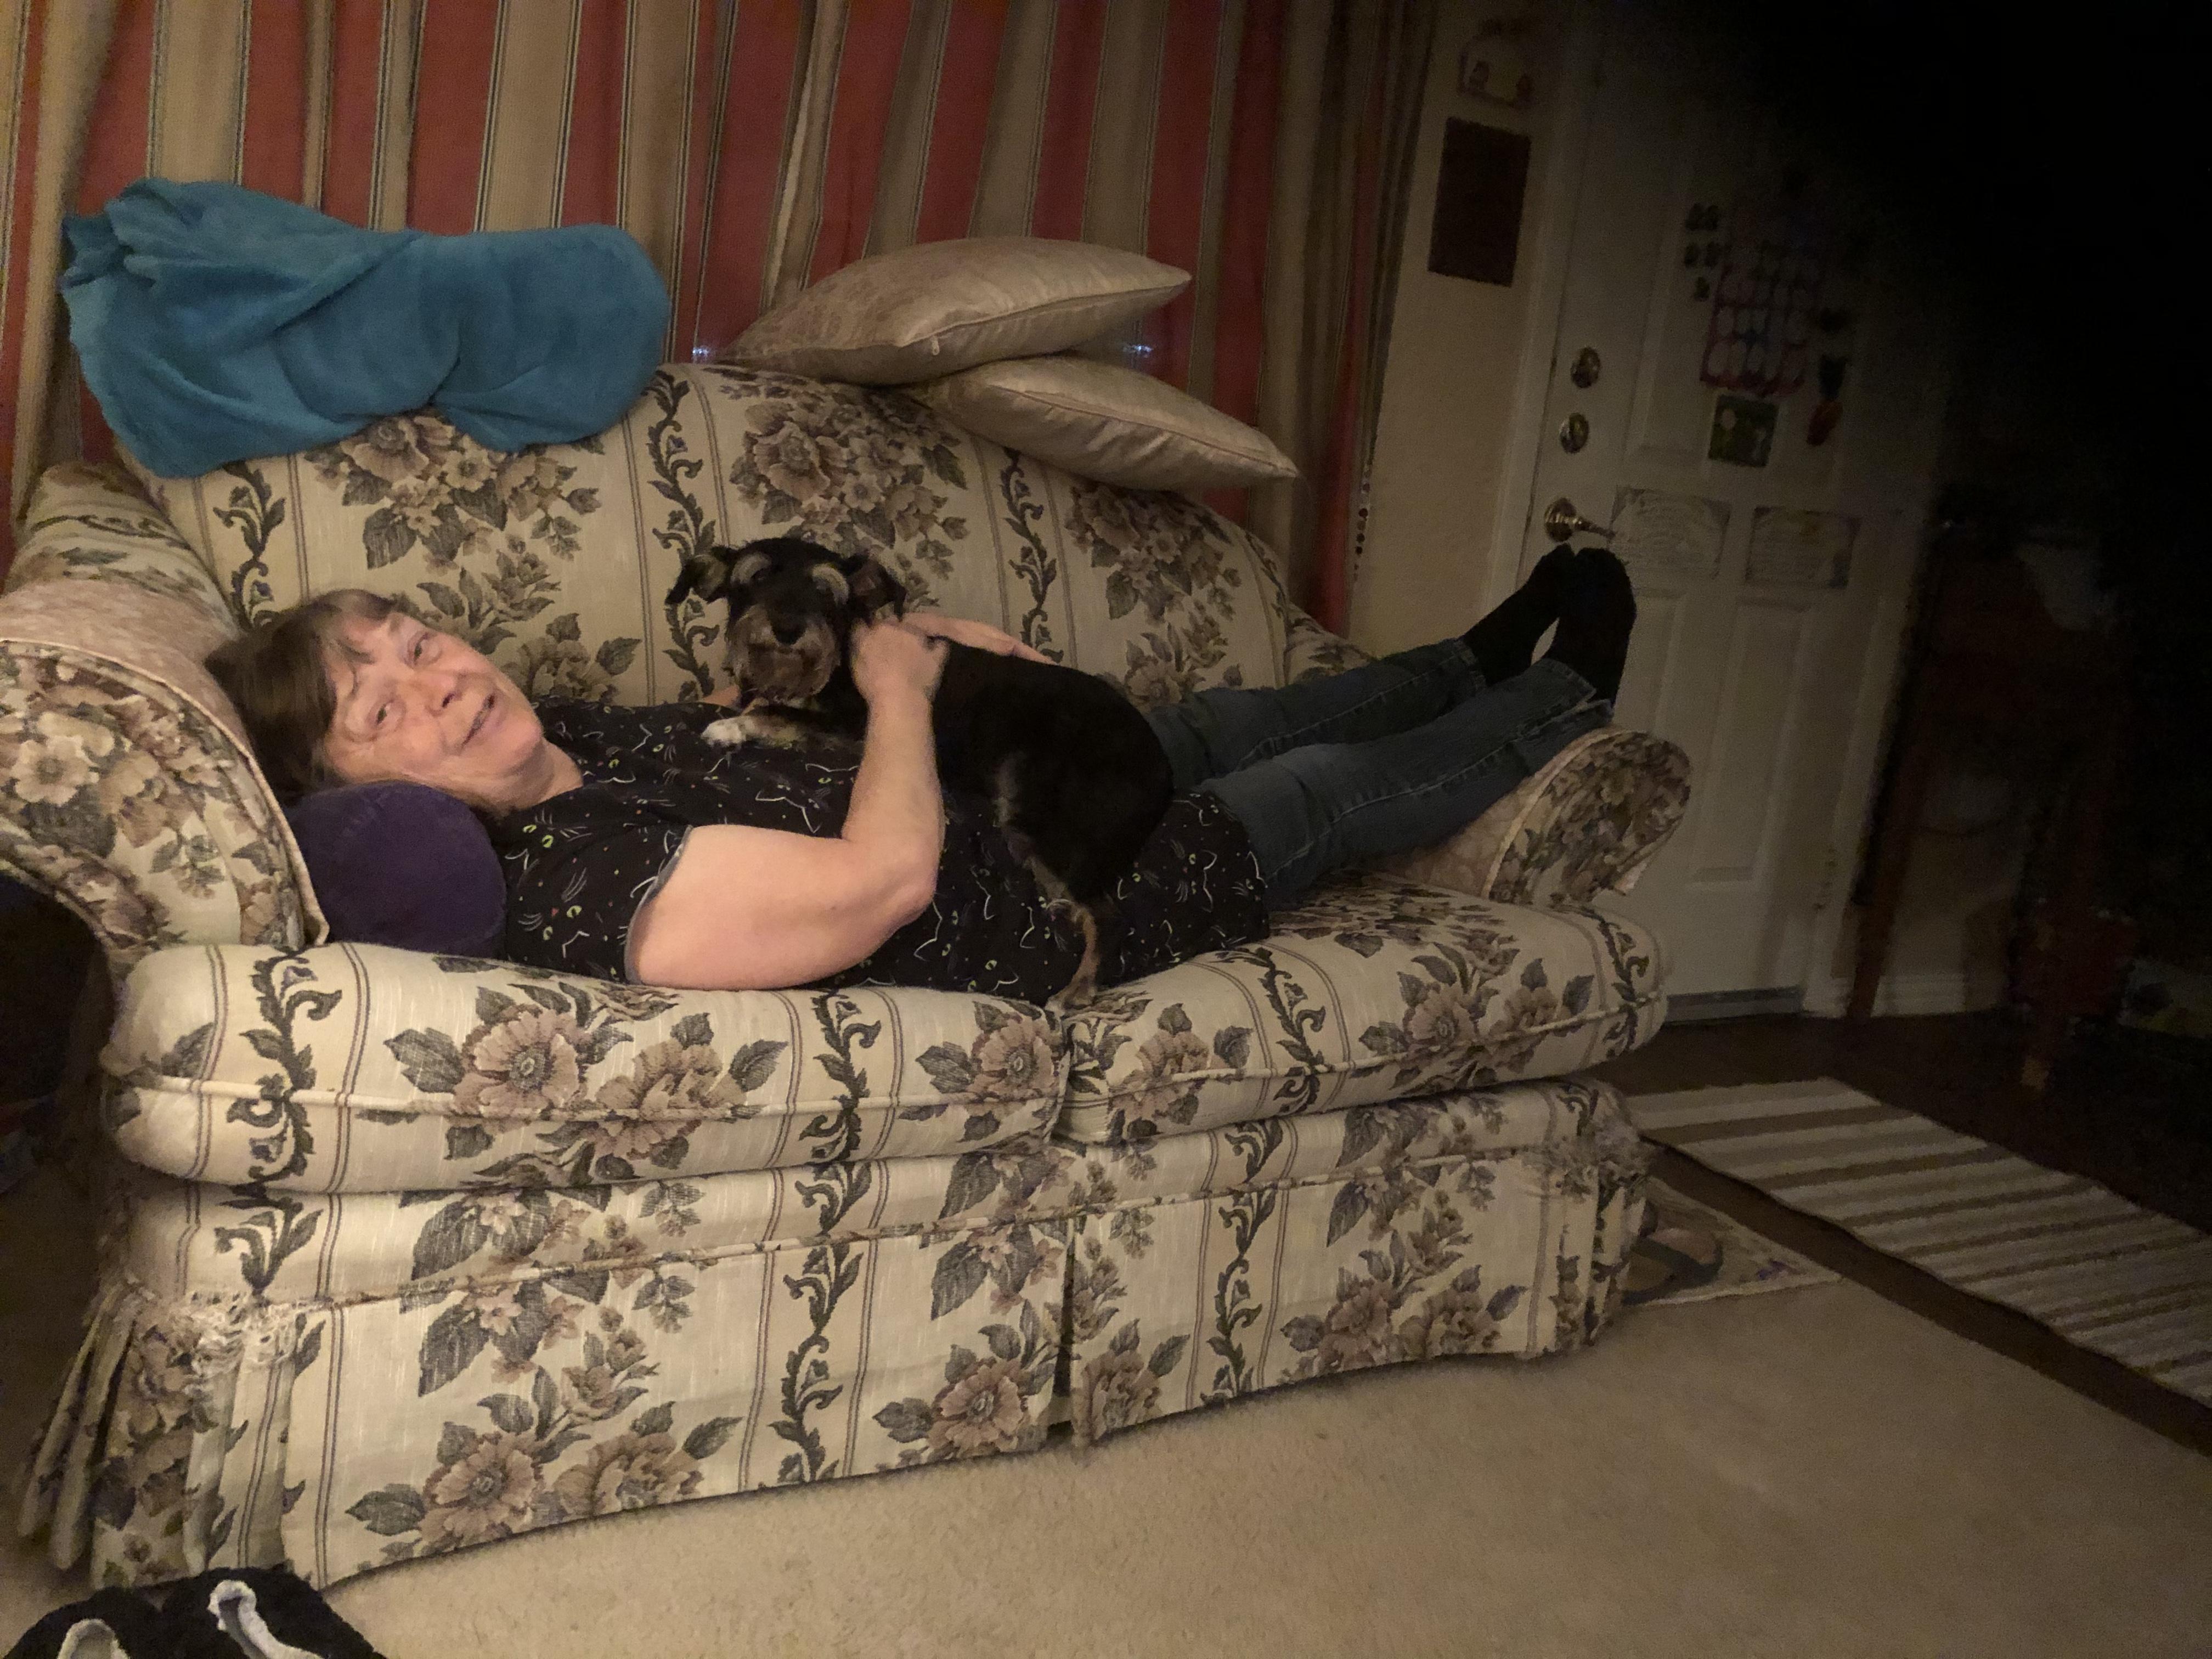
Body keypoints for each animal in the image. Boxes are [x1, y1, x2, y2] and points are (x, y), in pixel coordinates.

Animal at [666, 537, 1174, 1007]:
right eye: (755, 578)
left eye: (826, 591)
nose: (788, 629)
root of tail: (1162, 770)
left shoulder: (852, 728)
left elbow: (774, 713)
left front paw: (731, 726)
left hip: (1037, 810)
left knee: (1109, 917)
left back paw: (1078, 989)